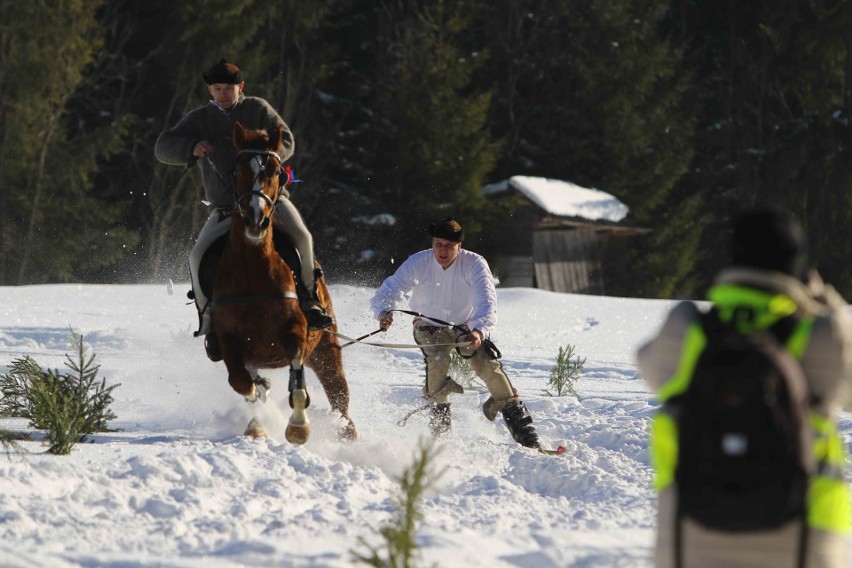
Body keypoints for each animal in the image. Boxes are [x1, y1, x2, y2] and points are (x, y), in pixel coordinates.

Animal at [211, 121, 356, 444]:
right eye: (237, 170)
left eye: (276, 171)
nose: (255, 219)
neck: (253, 274)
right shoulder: (229, 341)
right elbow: (241, 381)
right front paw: (259, 402)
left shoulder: (296, 331)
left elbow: (297, 377)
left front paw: (298, 426)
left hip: (327, 349)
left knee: (339, 393)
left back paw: (346, 432)